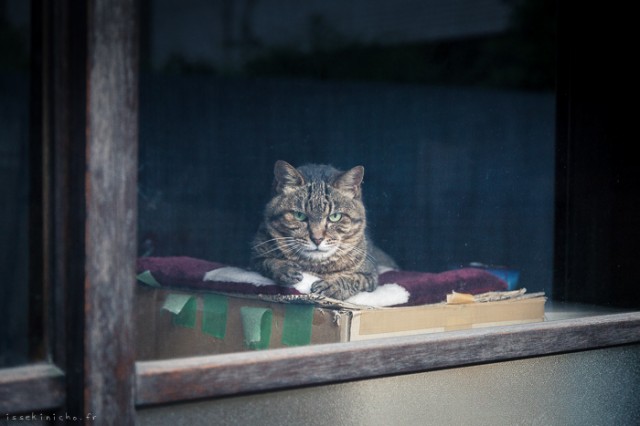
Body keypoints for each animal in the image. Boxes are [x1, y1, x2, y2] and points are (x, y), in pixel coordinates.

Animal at [250, 160, 396, 300]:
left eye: (335, 217)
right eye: (299, 215)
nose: (317, 239)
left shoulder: (370, 275)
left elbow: (353, 279)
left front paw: (333, 285)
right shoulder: (254, 257)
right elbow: (268, 262)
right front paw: (284, 268)